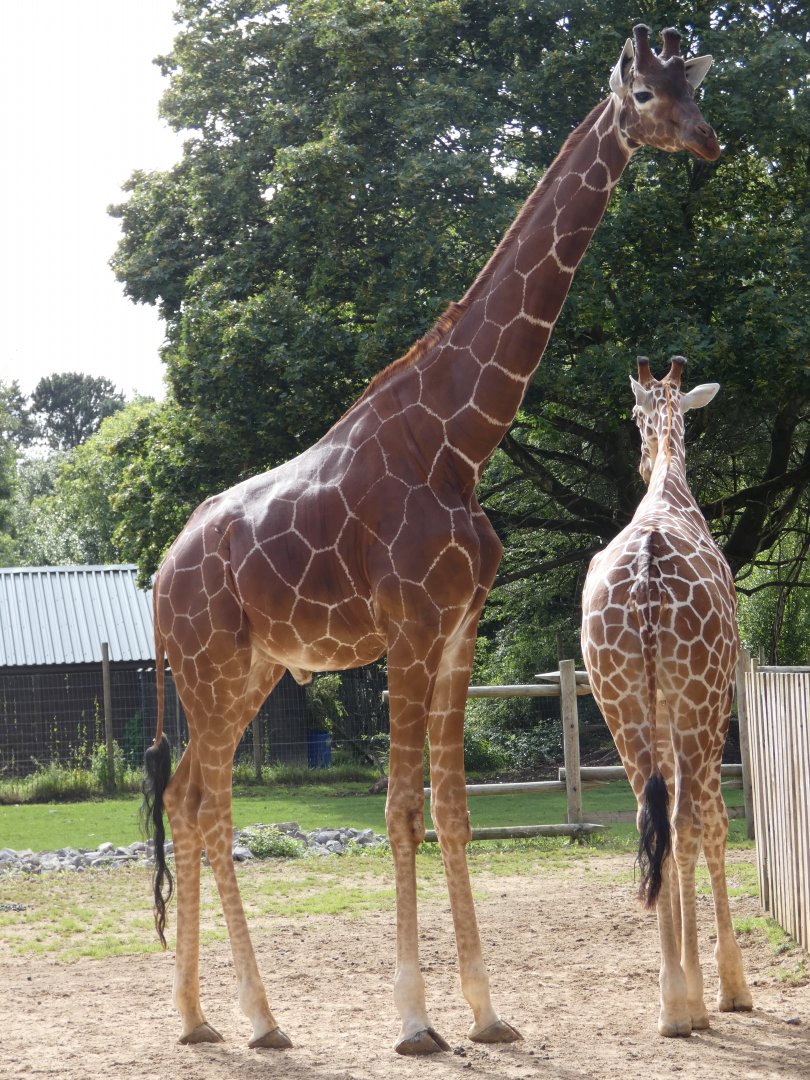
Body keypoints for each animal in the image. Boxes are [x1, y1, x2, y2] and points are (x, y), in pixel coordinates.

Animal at [143, 26, 722, 1055]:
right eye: (649, 95)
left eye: (696, 90)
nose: (712, 143)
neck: (460, 443)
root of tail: (161, 580)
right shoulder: (408, 631)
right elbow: (401, 808)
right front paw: (414, 1021)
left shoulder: (457, 634)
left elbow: (451, 811)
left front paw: (487, 1014)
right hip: (208, 669)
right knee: (209, 810)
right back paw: (260, 1019)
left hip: (249, 671)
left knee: (186, 800)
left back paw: (202, 1017)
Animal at [581, 356, 753, 1037]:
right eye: (635, 413)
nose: (638, 456)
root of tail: (649, 571)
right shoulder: (715, 703)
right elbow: (714, 823)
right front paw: (726, 990)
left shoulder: (656, 713)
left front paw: (687, 988)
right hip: (698, 701)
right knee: (687, 821)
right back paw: (690, 1004)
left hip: (618, 701)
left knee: (646, 816)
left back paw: (670, 1002)